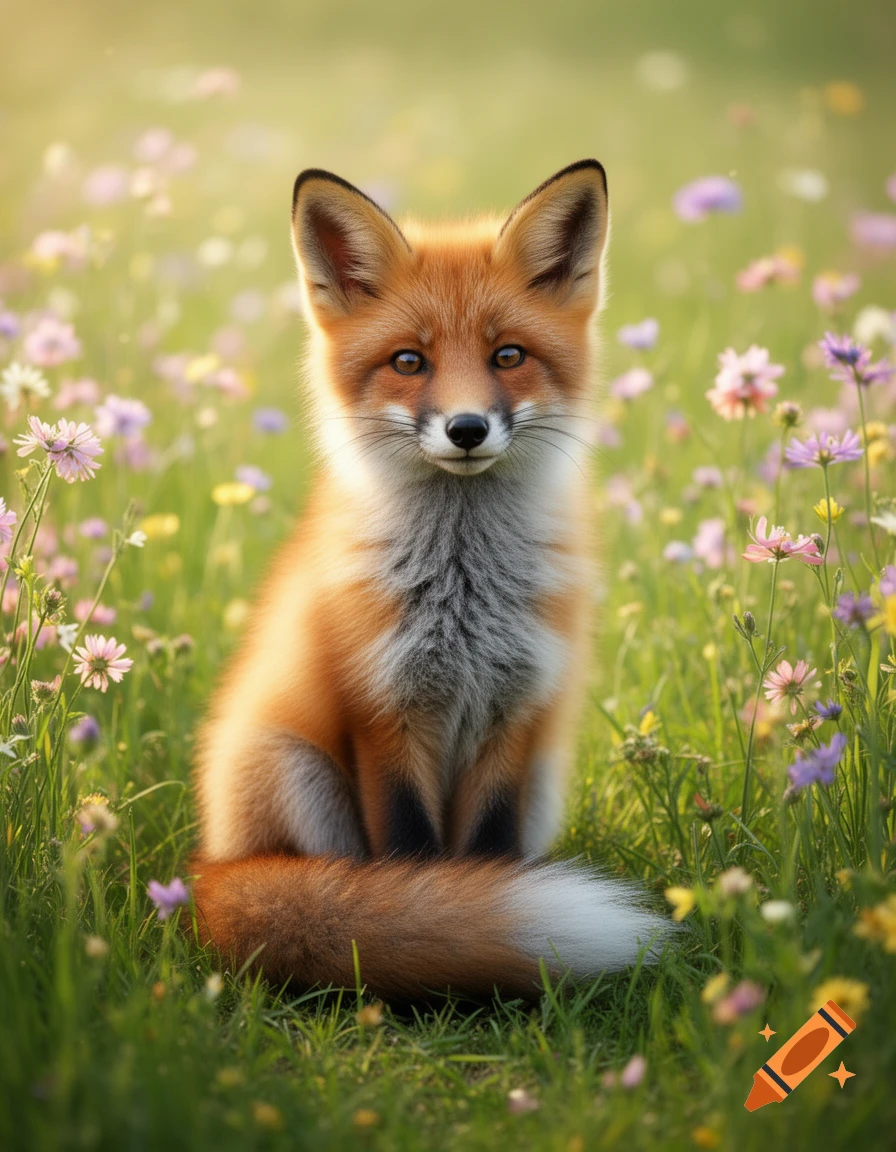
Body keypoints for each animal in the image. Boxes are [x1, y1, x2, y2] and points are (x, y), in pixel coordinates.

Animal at [191, 159, 672, 1000]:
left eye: (508, 356)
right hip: (287, 764)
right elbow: (412, 868)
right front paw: (428, 934)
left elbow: (488, 859)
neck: (463, 592)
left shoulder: (515, 714)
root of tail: (209, 871)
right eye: (408, 362)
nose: (467, 429)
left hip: (544, 779)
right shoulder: (384, 713)